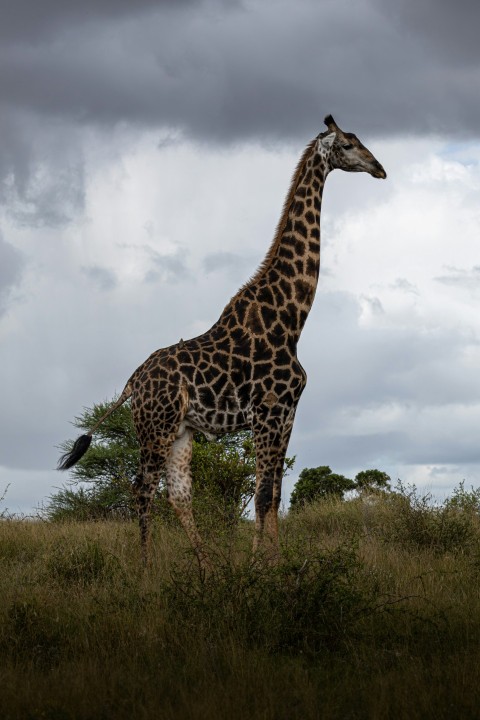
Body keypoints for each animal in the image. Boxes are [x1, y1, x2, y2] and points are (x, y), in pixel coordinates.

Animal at [57, 115, 386, 568]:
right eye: (350, 144)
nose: (380, 168)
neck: (290, 319)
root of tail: (131, 383)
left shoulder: (287, 413)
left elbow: (274, 495)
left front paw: (271, 564)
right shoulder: (267, 412)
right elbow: (262, 495)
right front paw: (260, 566)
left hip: (180, 432)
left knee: (179, 496)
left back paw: (208, 570)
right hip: (155, 428)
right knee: (142, 489)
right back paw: (145, 570)